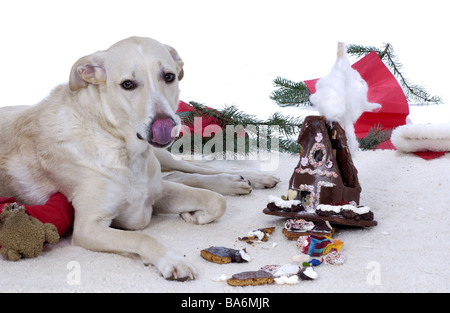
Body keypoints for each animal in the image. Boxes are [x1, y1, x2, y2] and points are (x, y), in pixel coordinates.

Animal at [0, 37, 278, 280]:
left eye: (169, 76)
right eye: (127, 84)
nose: (165, 124)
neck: (124, 150)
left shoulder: (156, 191)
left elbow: (216, 201)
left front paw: (195, 215)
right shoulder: (89, 227)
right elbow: (140, 236)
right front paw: (172, 260)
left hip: (163, 156)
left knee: (191, 169)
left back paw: (246, 178)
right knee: (181, 174)